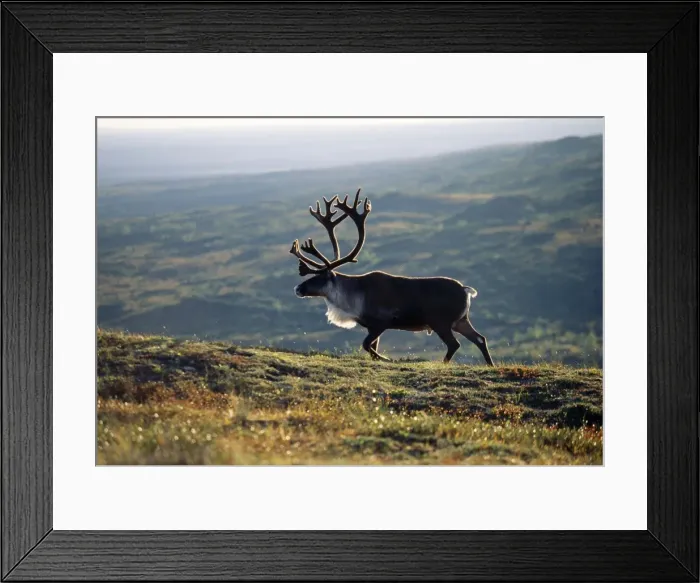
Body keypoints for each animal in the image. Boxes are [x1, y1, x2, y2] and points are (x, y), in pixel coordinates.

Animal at [290, 189, 495, 366]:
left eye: (320, 277)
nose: (298, 288)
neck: (352, 297)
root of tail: (466, 290)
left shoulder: (382, 322)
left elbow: (367, 345)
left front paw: (386, 359)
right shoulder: (372, 327)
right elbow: (371, 346)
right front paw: (379, 358)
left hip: (440, 322)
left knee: (455, 344)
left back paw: (444, 363)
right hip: (461, 320)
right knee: (480, 338)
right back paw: (490, 365)